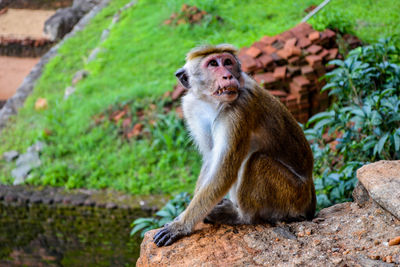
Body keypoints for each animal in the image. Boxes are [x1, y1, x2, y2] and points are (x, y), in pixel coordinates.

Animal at [153, 43, 316, 247]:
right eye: (213, 64)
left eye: (228, 62)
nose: (228, 76)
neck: (211, 102)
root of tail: (310, 201)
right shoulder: (191, 106)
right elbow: (210, 159)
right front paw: (182, 217)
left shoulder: (239, 109)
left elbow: (224, 171)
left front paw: (181, 226)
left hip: (293, 195)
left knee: (257, 161)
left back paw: (242, 216)